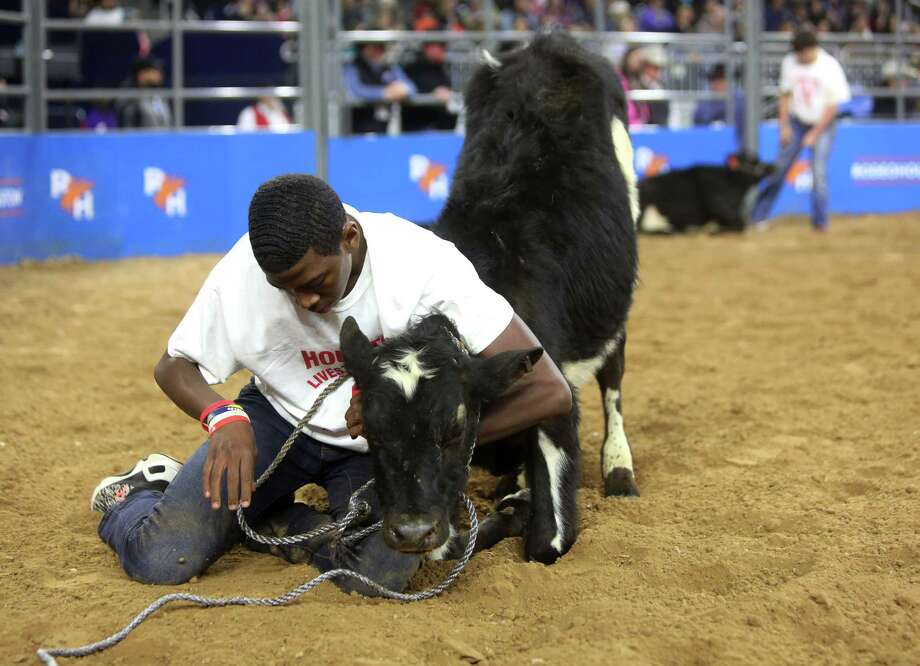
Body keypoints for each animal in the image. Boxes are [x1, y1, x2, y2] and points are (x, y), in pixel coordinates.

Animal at [342, 33, 636, 564]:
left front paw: (523, 504)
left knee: (614, 374)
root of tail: (548, 43)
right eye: (372, 433)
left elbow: (546, 540)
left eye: (454, 429)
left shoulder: (557, 401)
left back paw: (619, 467)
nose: (412, 531)